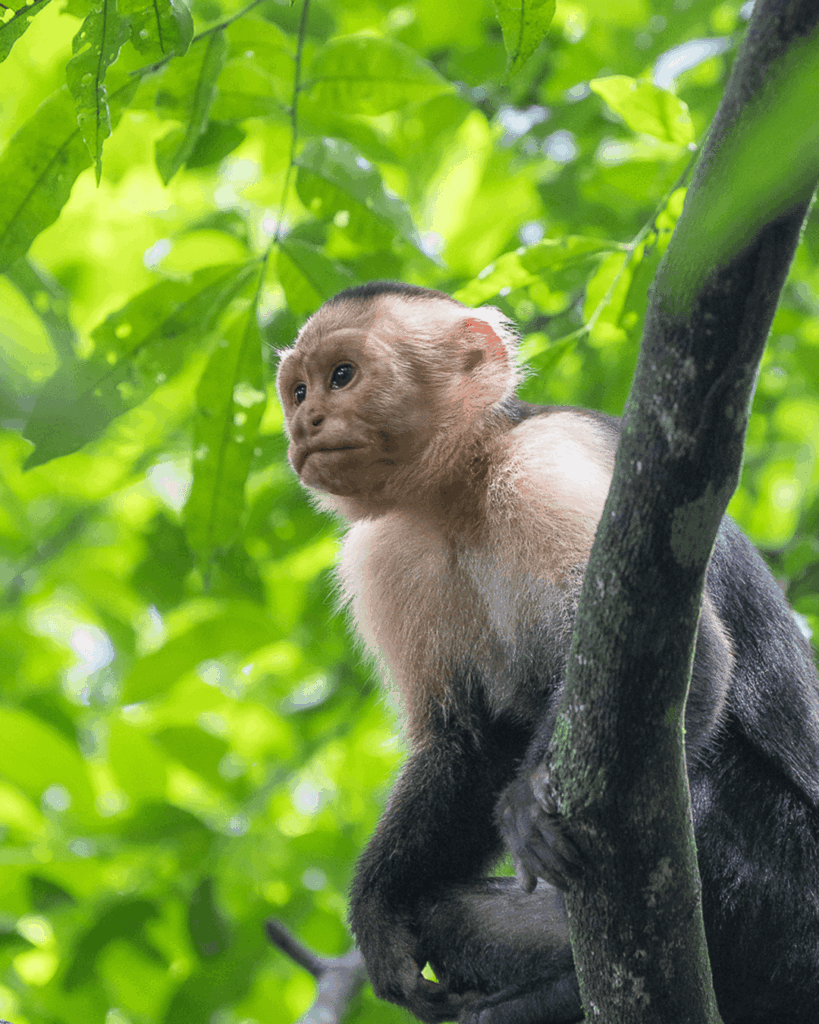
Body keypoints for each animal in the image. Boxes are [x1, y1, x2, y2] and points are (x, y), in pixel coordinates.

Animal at [275, 281, 819, 1024]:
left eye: (341, 376)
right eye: (298, 391)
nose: (306, 422)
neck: (461, 488)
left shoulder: (548, 461)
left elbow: (692, 660)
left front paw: (531, 800)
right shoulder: (388, 554)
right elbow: (465, 747)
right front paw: (378, 913)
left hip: (797, 904)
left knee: (692, 788)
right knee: (448, 916)